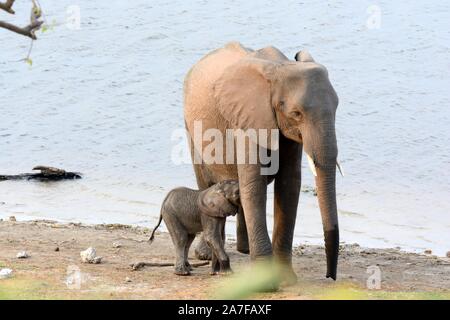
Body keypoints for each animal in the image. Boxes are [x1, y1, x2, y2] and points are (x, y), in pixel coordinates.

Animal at [183, 40, 342, 282]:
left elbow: (289, 185)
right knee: (206, 182)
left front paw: (286, 278)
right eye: (296, 113)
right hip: (191, 126)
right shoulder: (247, 120)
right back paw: (206, 254)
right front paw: (265, 279)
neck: (280, 67)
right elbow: (255, 184)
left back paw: (244, 249)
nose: (329, 276)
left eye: (336, 108)